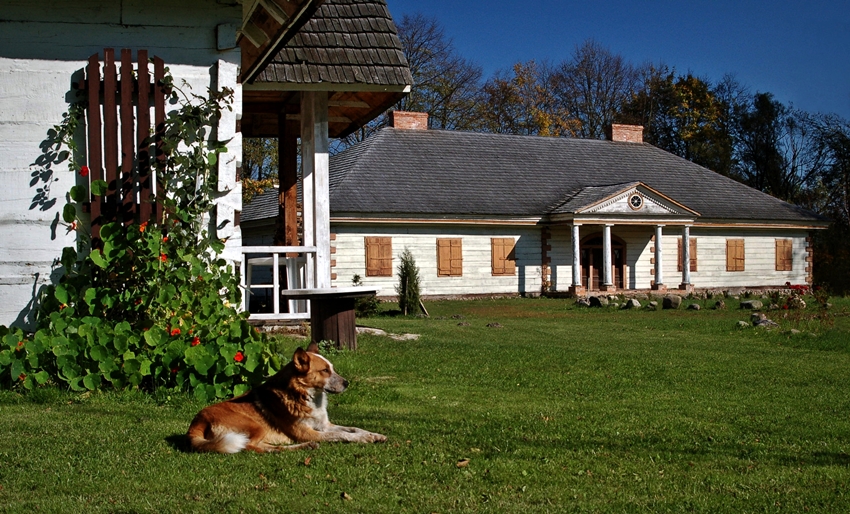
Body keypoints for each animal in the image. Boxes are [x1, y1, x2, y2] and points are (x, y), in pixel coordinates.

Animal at [187, 342, 386, 450]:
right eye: (325, 371)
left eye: (332, 368)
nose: (347, 383)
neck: (307, 397)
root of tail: (196, 422)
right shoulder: (308, 432)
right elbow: (343, 435)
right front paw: (363, 439)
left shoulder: (324, 425)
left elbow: (353, 428)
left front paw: (373, 434)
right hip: (254, 426)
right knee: (250, 447)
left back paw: (305, 447)